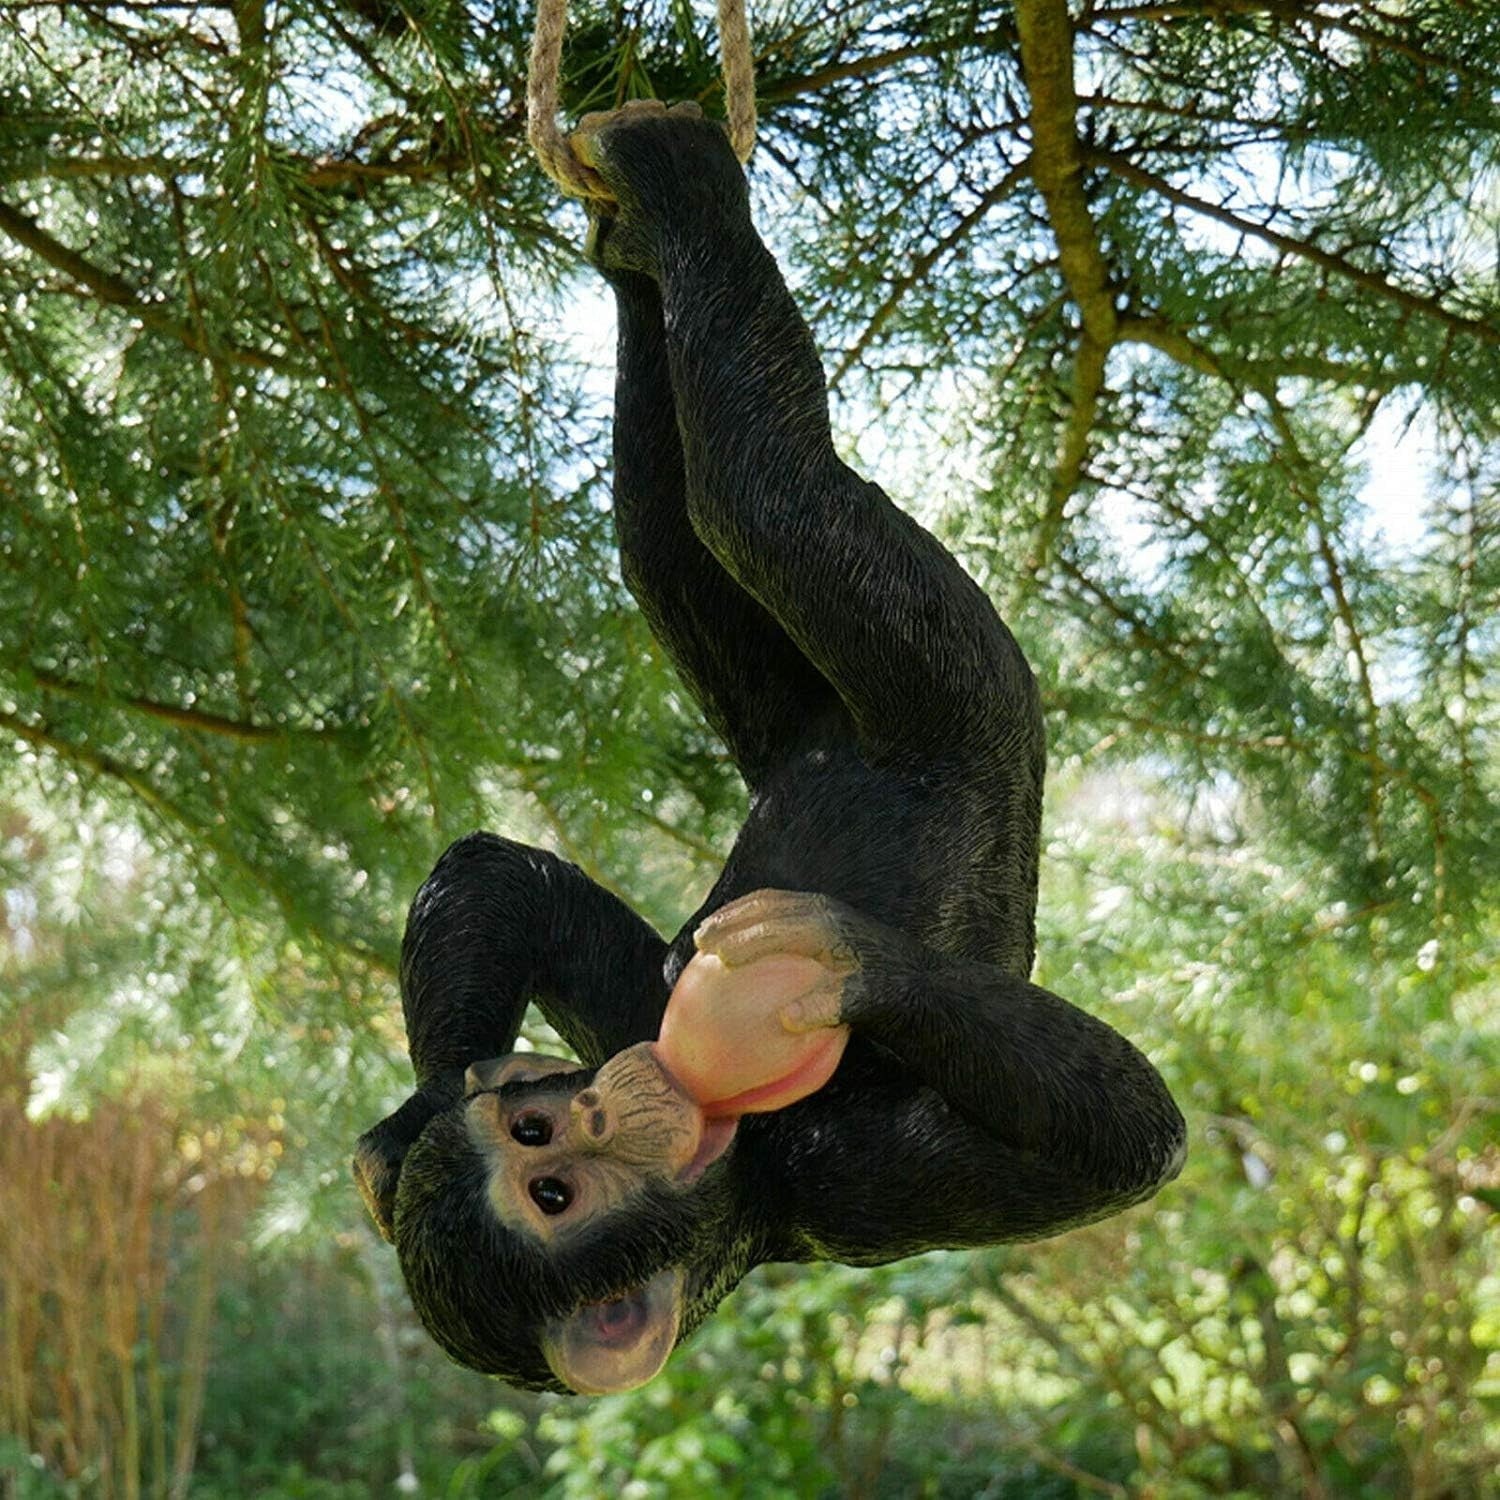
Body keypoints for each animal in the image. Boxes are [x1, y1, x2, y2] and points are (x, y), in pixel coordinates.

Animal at [353, 100, 1186, 1396]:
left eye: (536, 1129)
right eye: (551, 1184)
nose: (593, 1109)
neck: (732, 1159)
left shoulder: (630, 1019)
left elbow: (503, 882)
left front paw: (415, 1118)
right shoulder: (853, 1182)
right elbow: (1126, 1147)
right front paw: (839, 964)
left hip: (798, 719)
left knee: (670, 536)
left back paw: (630, 237)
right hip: (950, 676)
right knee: (764, 494)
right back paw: (681, 185)